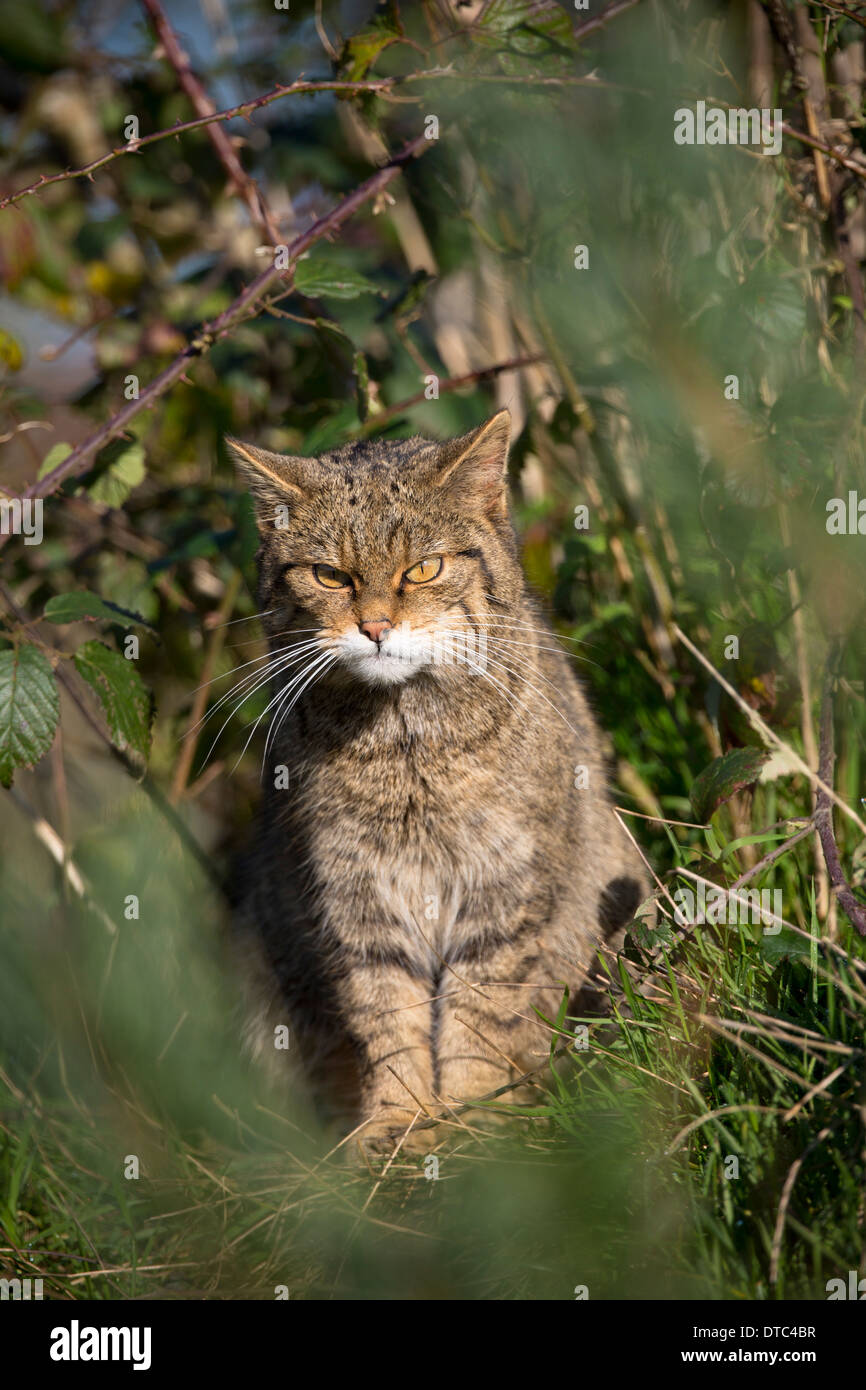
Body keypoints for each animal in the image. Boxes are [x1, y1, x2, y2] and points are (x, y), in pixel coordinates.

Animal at [226, 411, 647, 1150]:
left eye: (423, 569)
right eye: (329, 576)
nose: (375, 627)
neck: (406, 746)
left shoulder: (504, 892)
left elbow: (481, 1012)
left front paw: (474, 1109)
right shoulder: (356, 899)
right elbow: (386, 1017)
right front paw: (401, 1118)